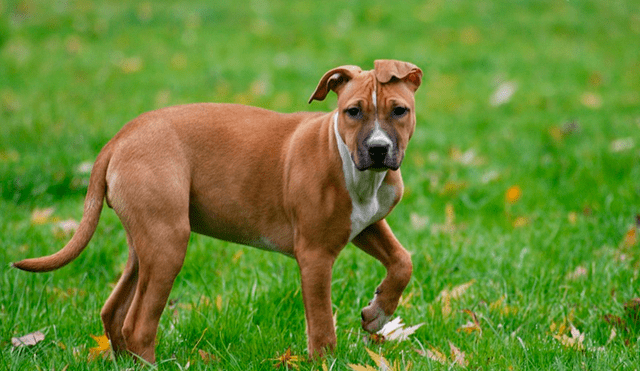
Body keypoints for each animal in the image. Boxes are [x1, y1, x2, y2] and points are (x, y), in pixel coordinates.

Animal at [12, 59, 422, 364]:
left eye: (399, 111)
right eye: (353, 112)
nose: (378, 149)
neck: (352, 164)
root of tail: (119, 138)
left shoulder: (365, 225)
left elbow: (403, 260)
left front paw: (377, 313)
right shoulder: (315, 255)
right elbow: (322, 326)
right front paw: (328, 359)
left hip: (145, 241)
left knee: (114, 311)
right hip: (168, 243)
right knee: (138, 324)